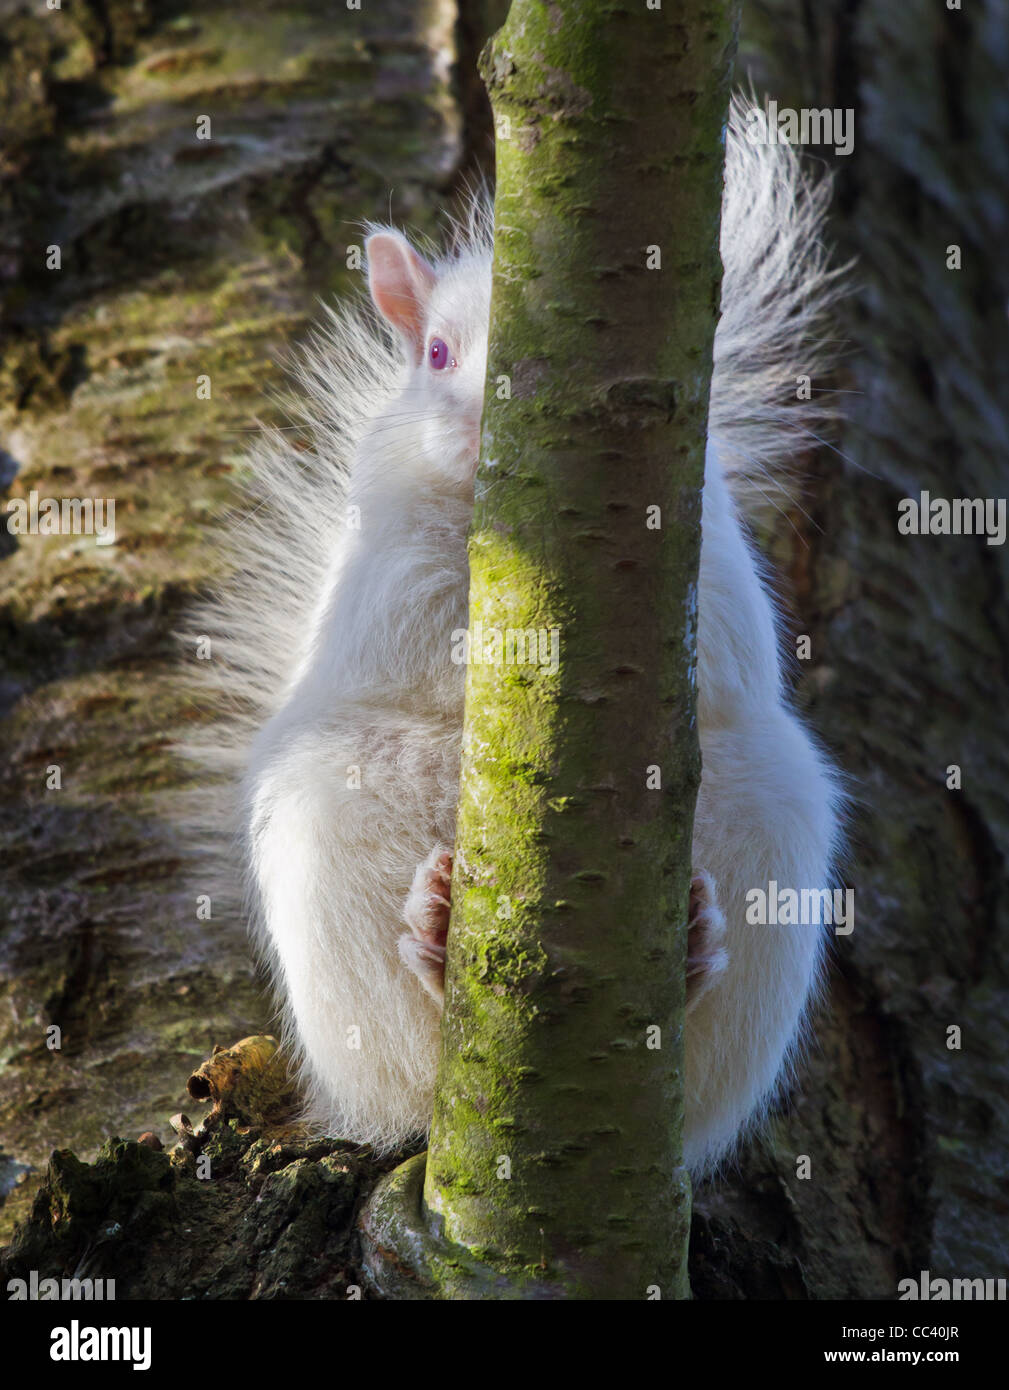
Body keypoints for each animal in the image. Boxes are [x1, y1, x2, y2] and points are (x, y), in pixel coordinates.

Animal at [181, 97, 846, 1177]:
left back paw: (689, 950)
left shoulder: (704, 549)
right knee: (406, 1058)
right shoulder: (391, 565)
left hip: (769, 843)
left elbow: (723, 640)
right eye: (436, 356)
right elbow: (426, 628)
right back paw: (434, 938)